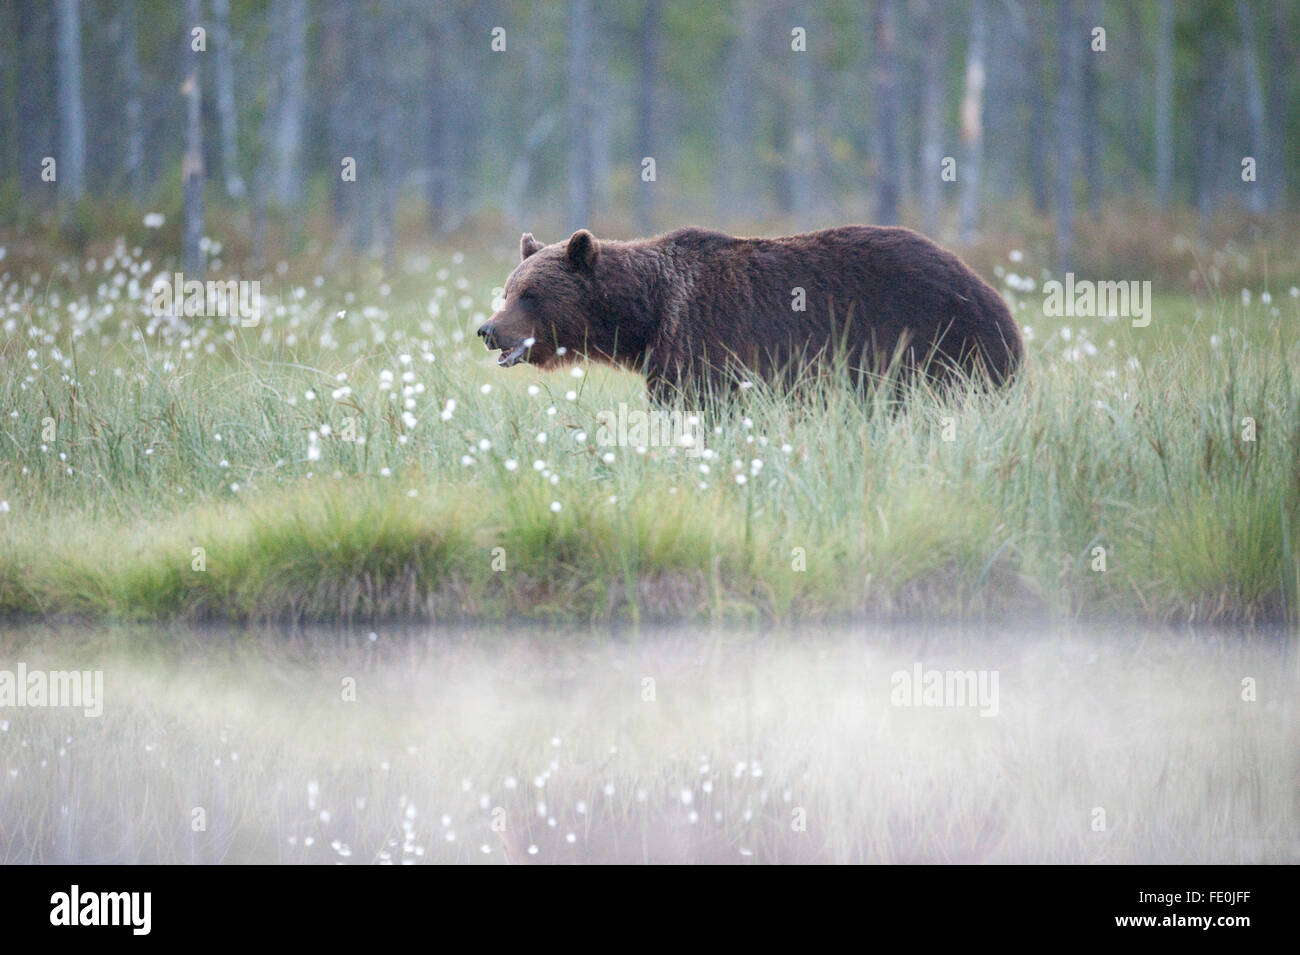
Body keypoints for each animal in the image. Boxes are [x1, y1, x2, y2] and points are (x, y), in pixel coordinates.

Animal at [477, 225, 1022, 402]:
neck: (646, 318)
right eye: (508, 290)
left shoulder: (705, 344)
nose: (487, 329)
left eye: (529, 294)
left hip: (937, 343)